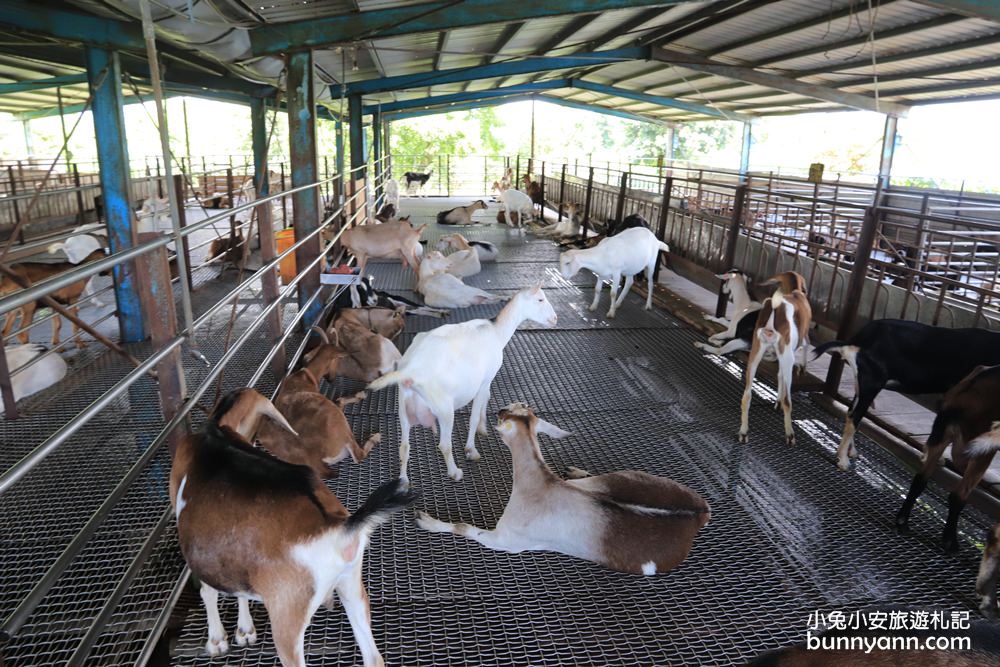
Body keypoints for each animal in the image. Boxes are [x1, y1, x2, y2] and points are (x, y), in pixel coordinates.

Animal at [170, 386, 416, 667]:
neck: (215, 437)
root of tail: (339, 528)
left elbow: (208, 589)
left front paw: (217, 640)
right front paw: (244, 631)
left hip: (287, 615)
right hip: (351, 582)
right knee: (374, 657)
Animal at [368, 288, 560, 486]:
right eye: (540, 299)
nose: (555, 319)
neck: (496, 331)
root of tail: (411, 369)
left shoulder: (486, 381)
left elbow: (487, 398)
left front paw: (483, 427)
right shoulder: (485, 380)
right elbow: (474, 415)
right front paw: (471, 449)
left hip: (404, 407)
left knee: (404, 446)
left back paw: (404, 481)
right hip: (444, 409)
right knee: (444, 444)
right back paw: (454, 472)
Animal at [414, 402, 712, 576]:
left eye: (506, 418)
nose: (498, 410)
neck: (539, 484)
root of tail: (700, 512)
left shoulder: (508, 541)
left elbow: (463, 527)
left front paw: (428, 521)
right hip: (630, 476)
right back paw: (574, 471)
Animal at [736, 272, 812, 448]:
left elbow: (779, 375)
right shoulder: (789, 353)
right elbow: (806, 346)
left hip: (756, 352)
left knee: (746, 396)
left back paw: (743, 433)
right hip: (786, 354)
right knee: (788, 400)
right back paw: (790, 435)